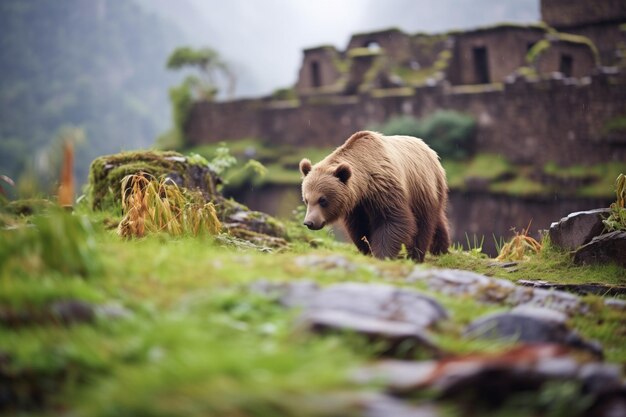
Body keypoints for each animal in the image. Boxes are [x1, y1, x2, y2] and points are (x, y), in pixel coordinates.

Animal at [298, 130, 448, 262]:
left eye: (322, 200)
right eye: (306, 200)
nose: (309, 222)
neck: (364, 187)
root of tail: (429, 149)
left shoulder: (384, 189)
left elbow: (392, 220)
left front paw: (382, 255)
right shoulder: (356, 206)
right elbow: (360, 229)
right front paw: (367, 250)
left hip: (422, 188)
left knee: (423, 223)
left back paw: (418, 255)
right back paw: (440, 248)